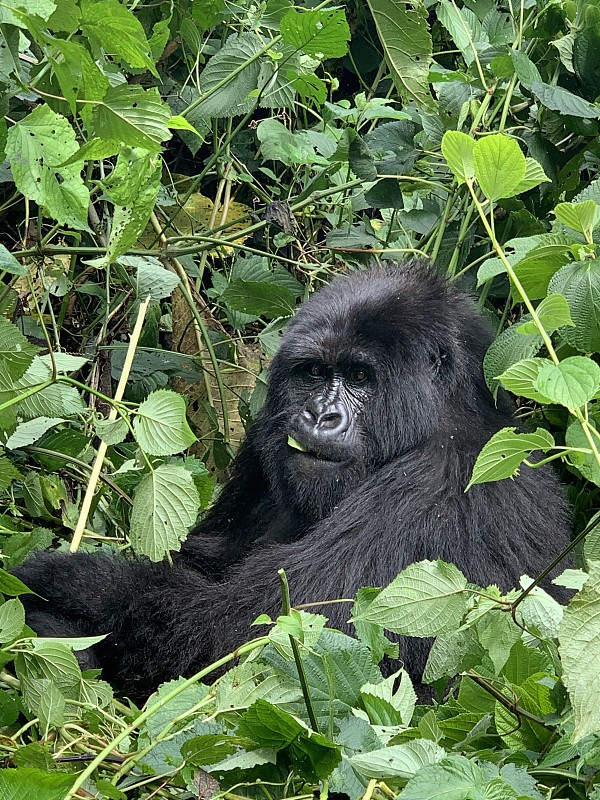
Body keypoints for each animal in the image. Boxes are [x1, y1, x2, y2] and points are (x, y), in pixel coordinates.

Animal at [16, 262, 572, 700]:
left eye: (360, 378)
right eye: (312, 373)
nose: (320, 416)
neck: (444, 416)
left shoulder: (432, 492)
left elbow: (248, 641)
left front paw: (62, 585)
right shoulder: (264, 436)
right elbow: (207, 563)